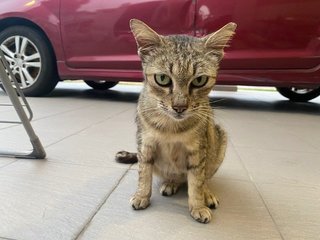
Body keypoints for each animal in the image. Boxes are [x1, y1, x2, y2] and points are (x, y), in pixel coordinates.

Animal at [116, 18, 236, 223]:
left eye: (200, 80)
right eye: (162, 78)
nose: (179, 107)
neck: (170, 127)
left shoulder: (198, 150)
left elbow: (196, 181)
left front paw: (198, 206)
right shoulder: (145, 144)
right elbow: (143, 173)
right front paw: (141, 195)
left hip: (219, 142)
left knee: (203, 178)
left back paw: (206, 193)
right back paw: (170, 183)